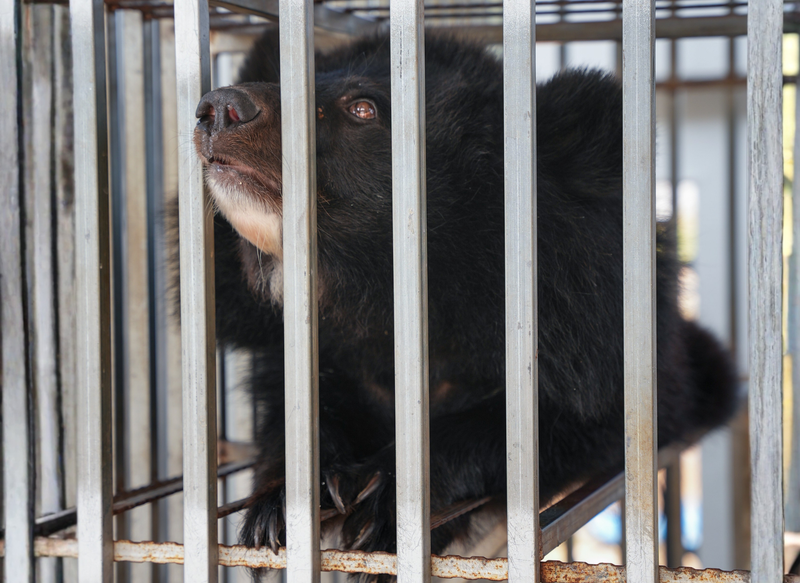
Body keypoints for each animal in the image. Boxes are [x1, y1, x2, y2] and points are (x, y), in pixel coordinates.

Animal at [193, 29, 738, 568]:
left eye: (364, 108)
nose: (218, 108)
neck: (382, 302)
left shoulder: (597, 336)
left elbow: (568, 422)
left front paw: (383, 499)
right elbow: (302, 402)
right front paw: (282, 503)